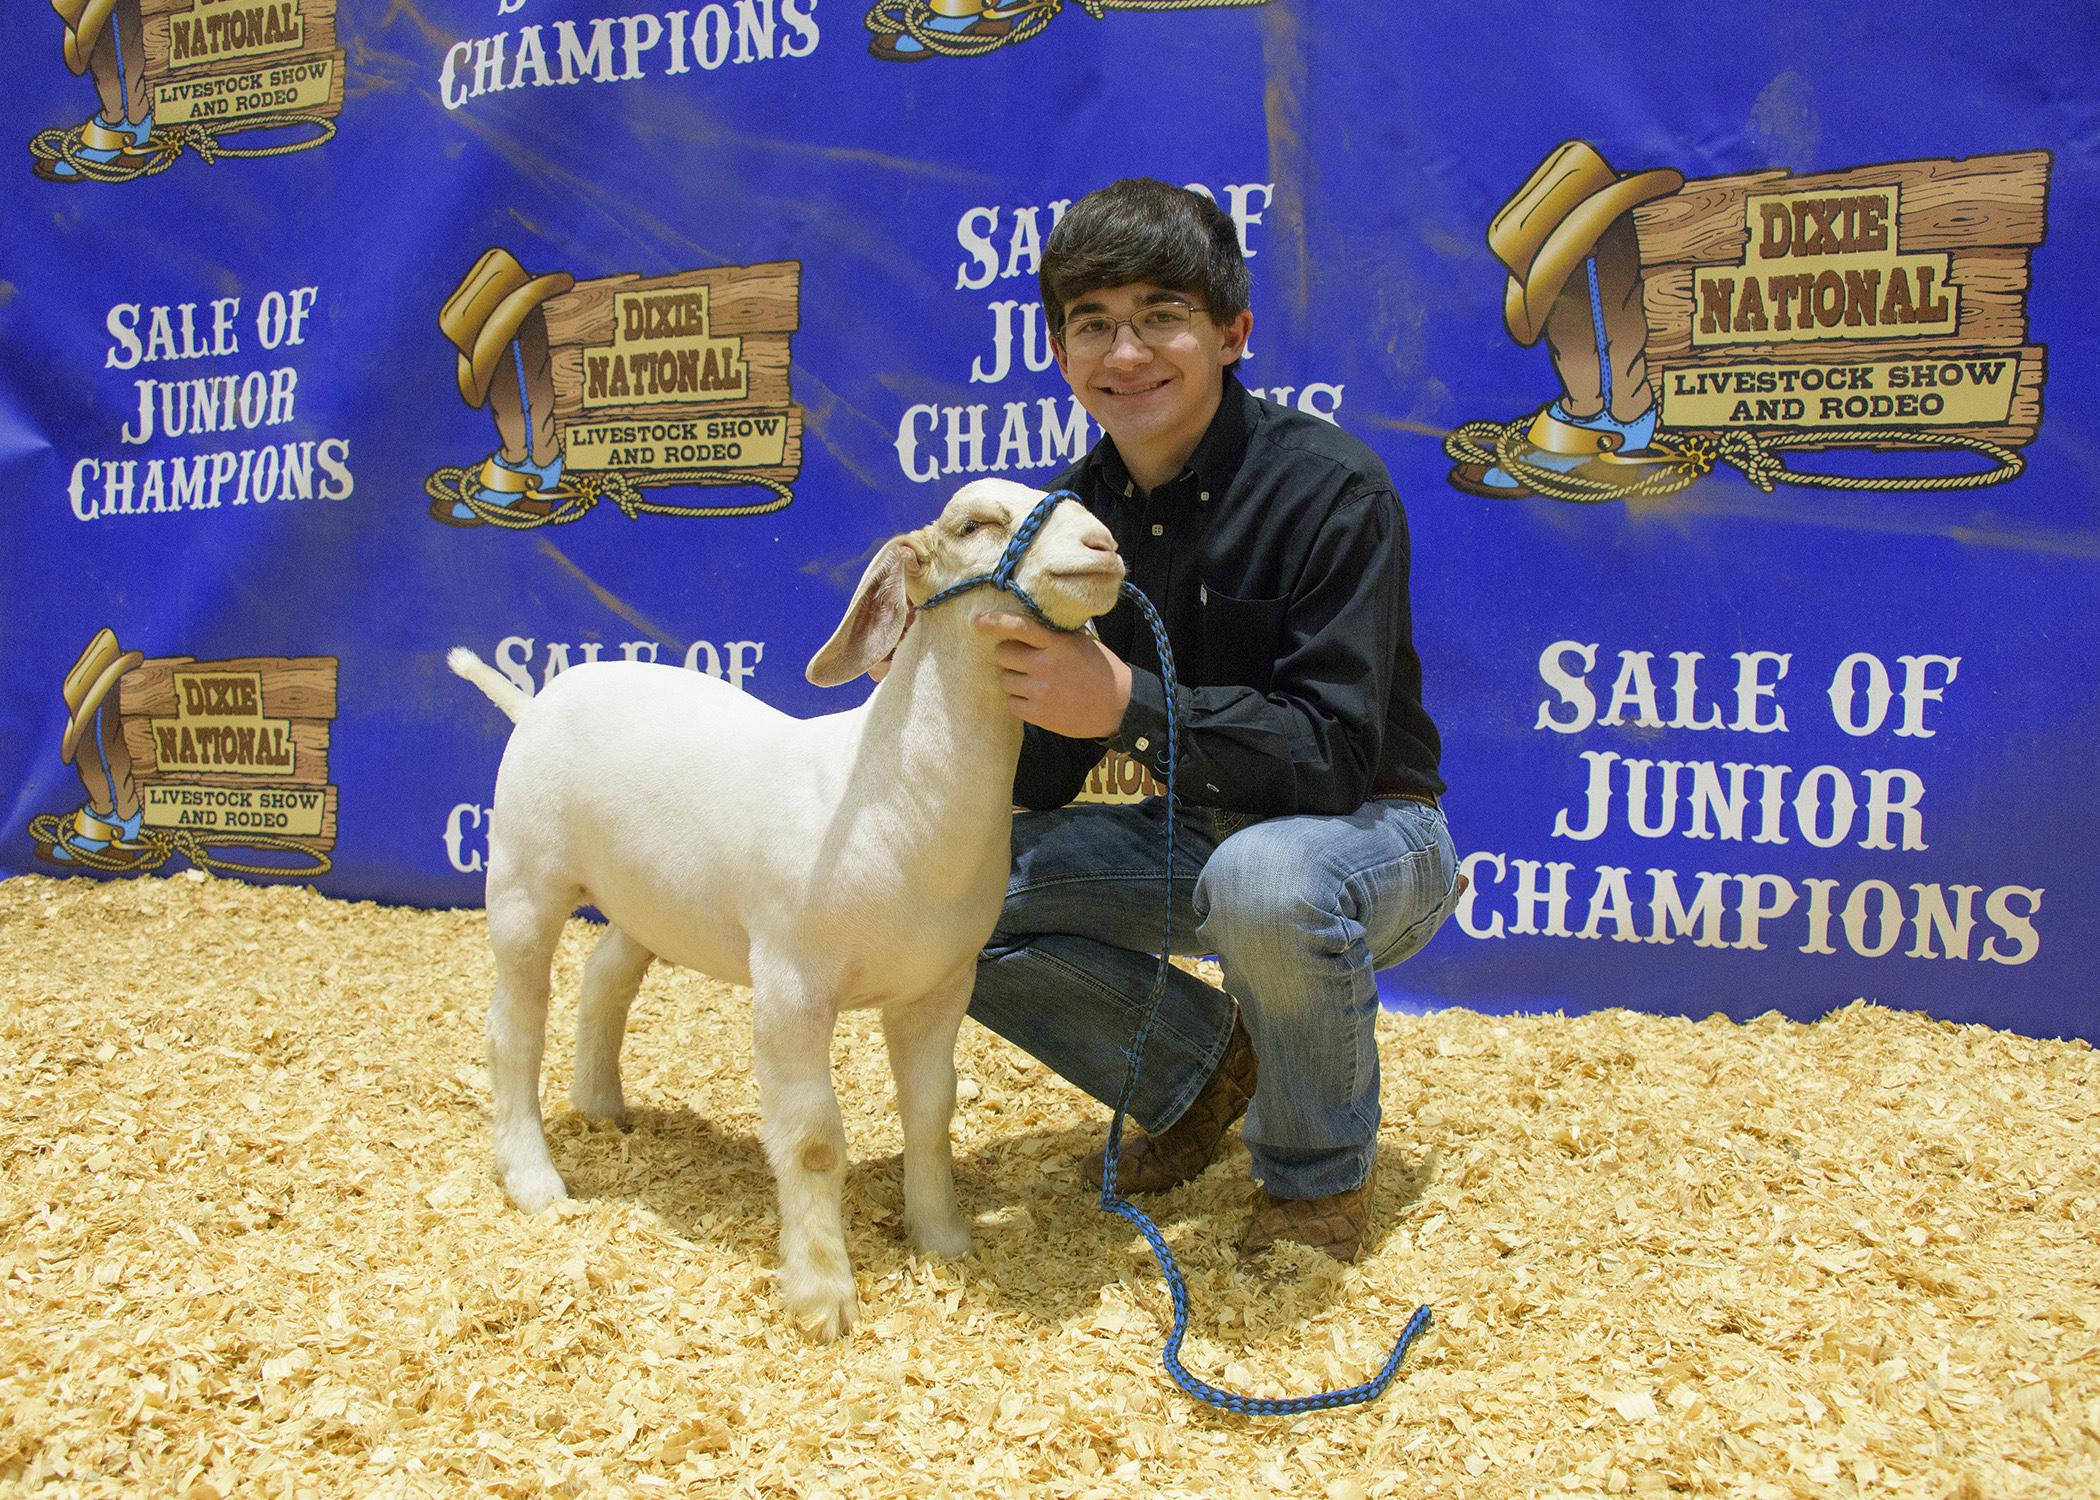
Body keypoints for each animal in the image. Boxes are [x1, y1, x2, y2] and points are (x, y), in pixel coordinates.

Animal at [451, 478, 1125, 1336]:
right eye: (975, 523)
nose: (1103, 547)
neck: (884, 795)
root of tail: (534, 698)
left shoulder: (942, 986)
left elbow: (931, 1111)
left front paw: (941, 1236)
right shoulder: (791, 986)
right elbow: (811, 1141)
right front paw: (821, 1292)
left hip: (647, 902)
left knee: (604, 981)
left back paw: (602, 1106)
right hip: (522, 882)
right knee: (512, 1026)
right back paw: (533, 1177)